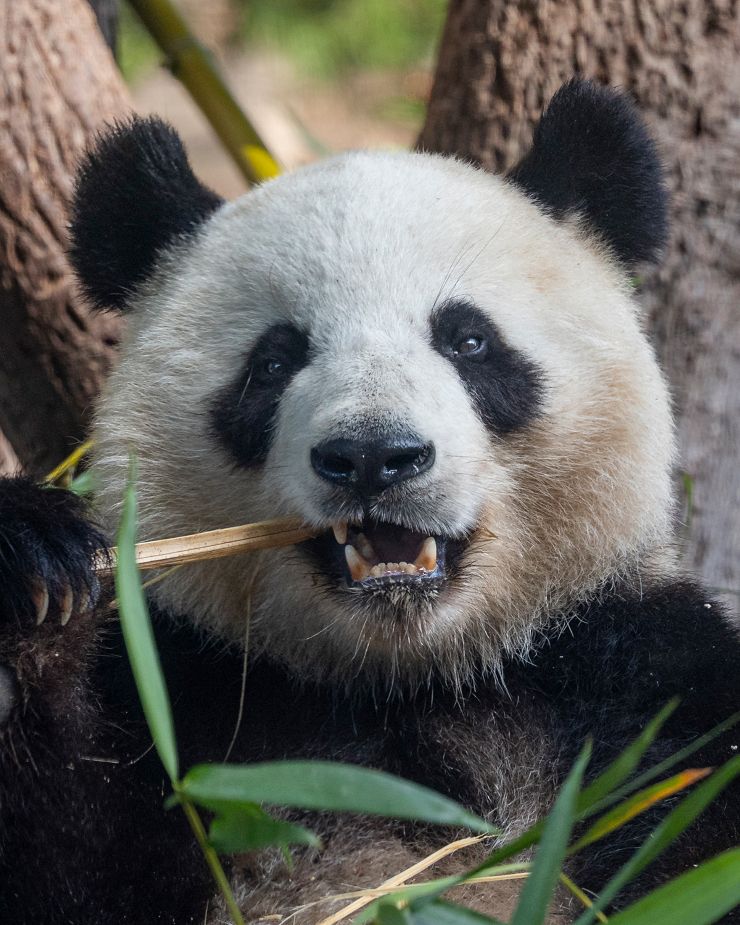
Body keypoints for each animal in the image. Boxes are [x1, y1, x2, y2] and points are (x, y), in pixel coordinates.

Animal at [0, 79, 738, 924]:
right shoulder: (192, 697)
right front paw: (34, 572)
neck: (410, 678)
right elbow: (74, 863)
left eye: (468, 340)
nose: (373, 457)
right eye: (274, 361)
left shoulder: (639, 678)